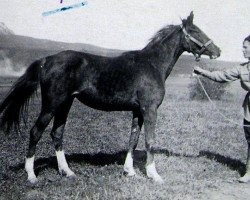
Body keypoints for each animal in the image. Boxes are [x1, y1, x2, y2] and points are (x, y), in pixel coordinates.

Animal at [0, 12, 220, 184]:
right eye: (196, 31)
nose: (218, 51)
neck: (152, 64)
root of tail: (46, 60)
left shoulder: (137, 111)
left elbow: (133, 139)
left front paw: (129, 171)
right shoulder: (149, 109)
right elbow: (149, 140)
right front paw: (154, 175)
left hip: (65, 104)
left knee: (57, 133)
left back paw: (67, 171)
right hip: (51, 104)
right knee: (35, 132)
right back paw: (31, 175)